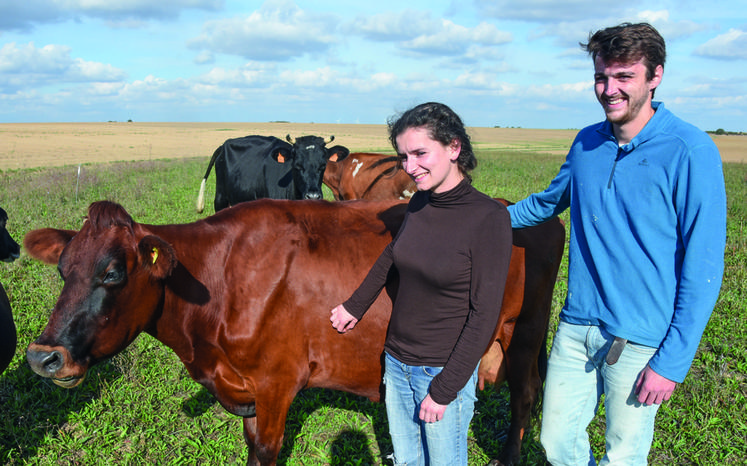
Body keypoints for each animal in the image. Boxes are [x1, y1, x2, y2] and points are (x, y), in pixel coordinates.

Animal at [24, 199, 568, 466]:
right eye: (63, 269)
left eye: (113, 272)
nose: (42, 357)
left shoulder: (277, 382)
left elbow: (267, 450)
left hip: (523, 329)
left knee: (525, 396)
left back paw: (509, 459)